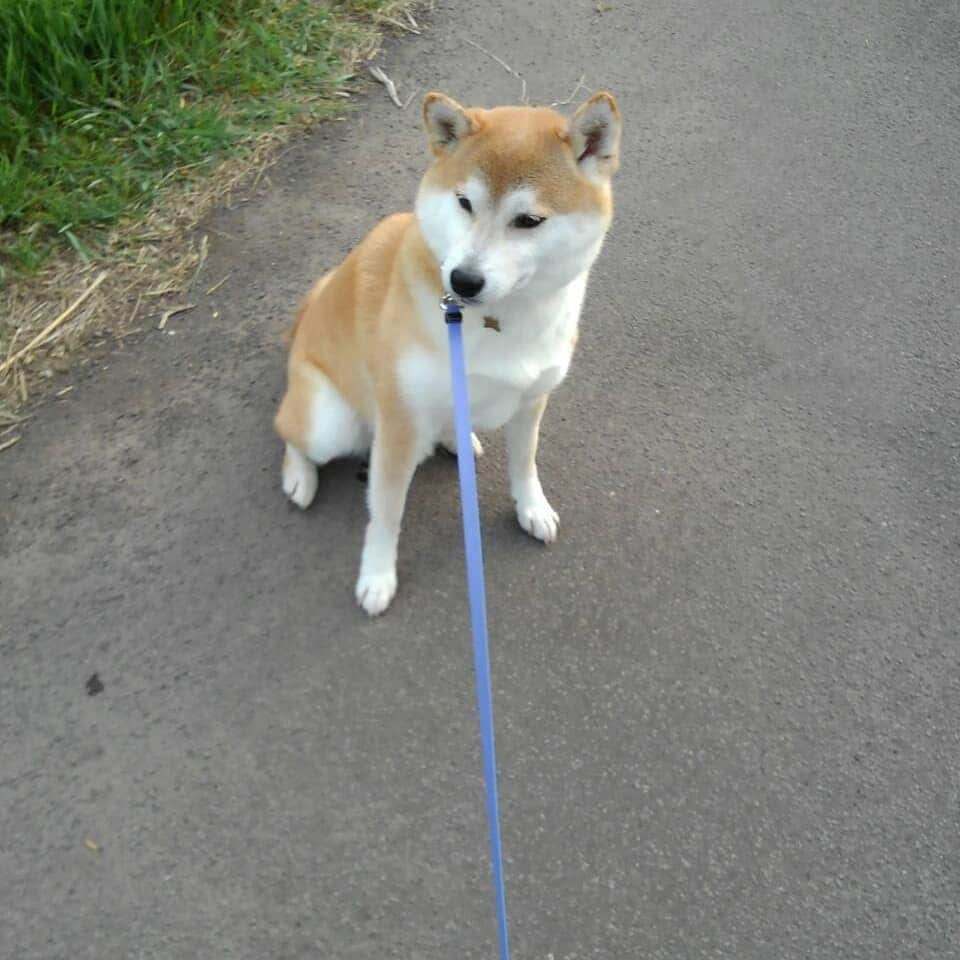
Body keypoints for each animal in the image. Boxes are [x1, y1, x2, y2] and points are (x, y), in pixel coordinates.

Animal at [278, 92, 624, 616]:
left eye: (529, 220)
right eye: (464, 203)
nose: (463, 280)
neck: (497, 321)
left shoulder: (531, 399)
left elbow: (526, 463)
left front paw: (532, 508)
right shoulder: (399, 423)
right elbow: (386, 513)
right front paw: (376, 576)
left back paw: (457, 439)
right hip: (328, 422)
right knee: (290, 432)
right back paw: (299, 477)